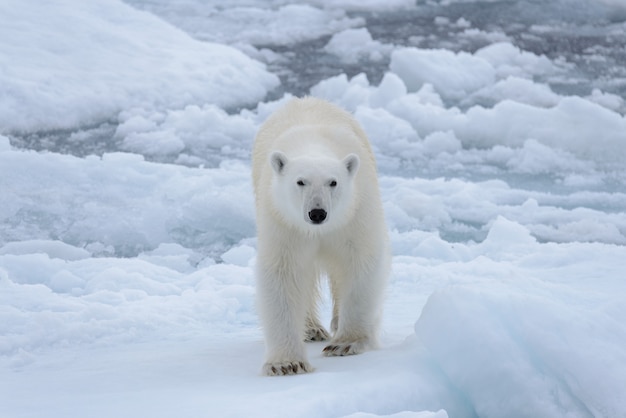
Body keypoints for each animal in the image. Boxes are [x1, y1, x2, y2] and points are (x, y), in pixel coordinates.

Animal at [251, 97, 388, 376]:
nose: (317, 213)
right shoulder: (284, 222)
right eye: (300, 182)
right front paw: (286, 363)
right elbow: (283, 273)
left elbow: (360, 261)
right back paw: (311, 328)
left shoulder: (355, 212)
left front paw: (345, 343)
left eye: (333, 182)